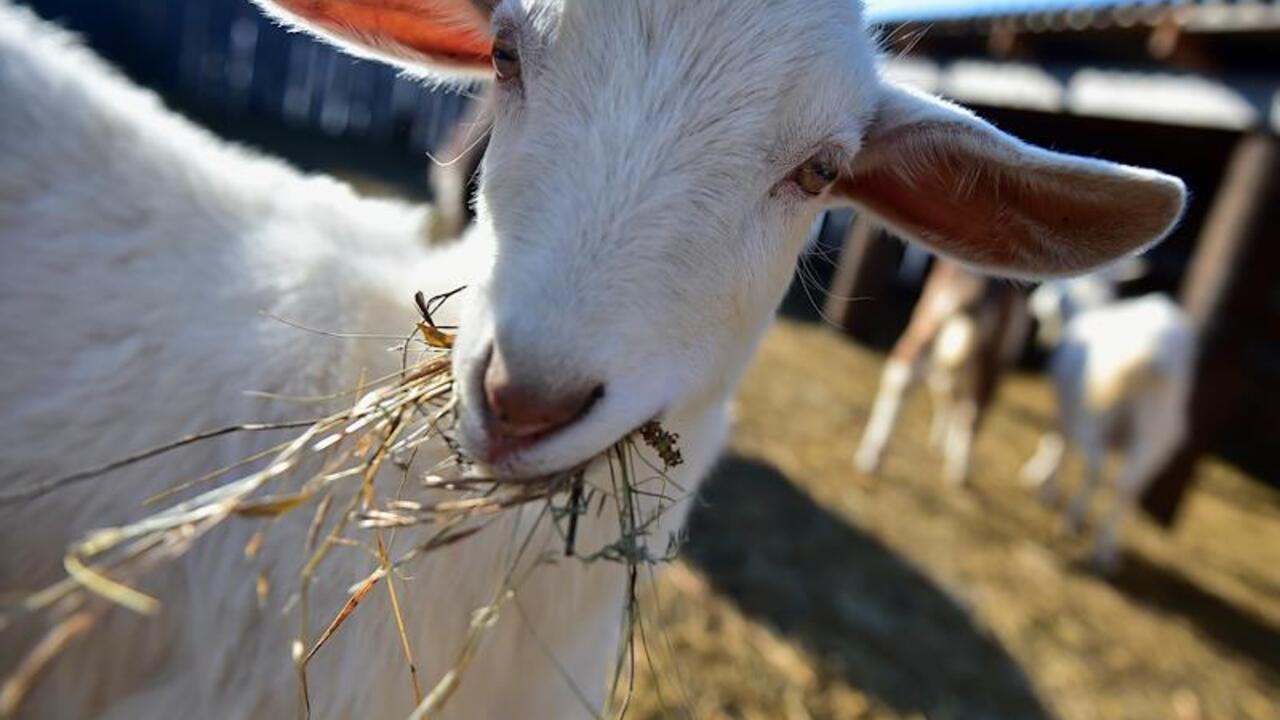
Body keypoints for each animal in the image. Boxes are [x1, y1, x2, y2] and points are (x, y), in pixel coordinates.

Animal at [1018, 265, 1198, 571]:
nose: (1040, 336)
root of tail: (1147, 356)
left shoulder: (1066, 408)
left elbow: (1057, 445)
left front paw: (1044, 486)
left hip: (1094, 416)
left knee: (1095, 468)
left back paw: (1071, 521)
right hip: (1156, 433)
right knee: (1127, 486)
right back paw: (1105, 550)